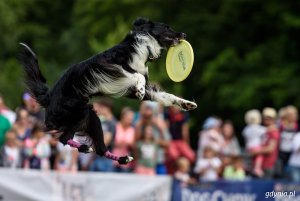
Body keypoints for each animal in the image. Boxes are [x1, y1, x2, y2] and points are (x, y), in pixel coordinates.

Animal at [18, 17, 197, 165]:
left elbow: (166, 96)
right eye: (167, 27)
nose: (184, 34)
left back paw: (122, 158)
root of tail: (48, 97)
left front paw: (187, 103)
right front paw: (139, 88)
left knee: (99, 150)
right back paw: (85, 148)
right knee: (63, 138)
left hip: (92, 118)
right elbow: (136, 75)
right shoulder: (109, 68)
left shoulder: (138, 88)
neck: (144, 48)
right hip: (79, 111)